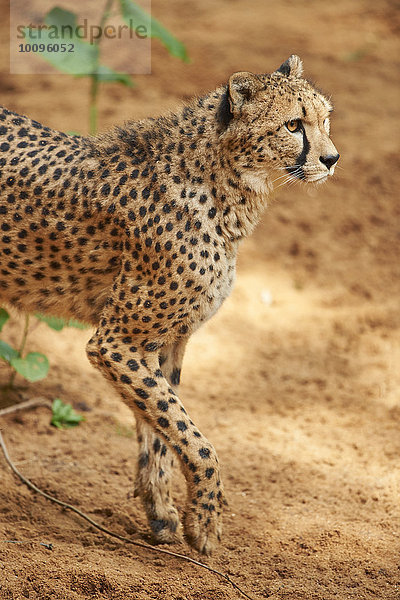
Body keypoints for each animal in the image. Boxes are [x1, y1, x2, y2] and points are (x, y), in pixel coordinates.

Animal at [0, 56, 340, 552]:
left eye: (325, 120)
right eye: (293, 125)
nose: (332, 159)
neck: (225, 189)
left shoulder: (164, 342)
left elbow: (161, 428)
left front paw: (160, 512)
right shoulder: (116, 342)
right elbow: (192, 437)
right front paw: (205, 522)